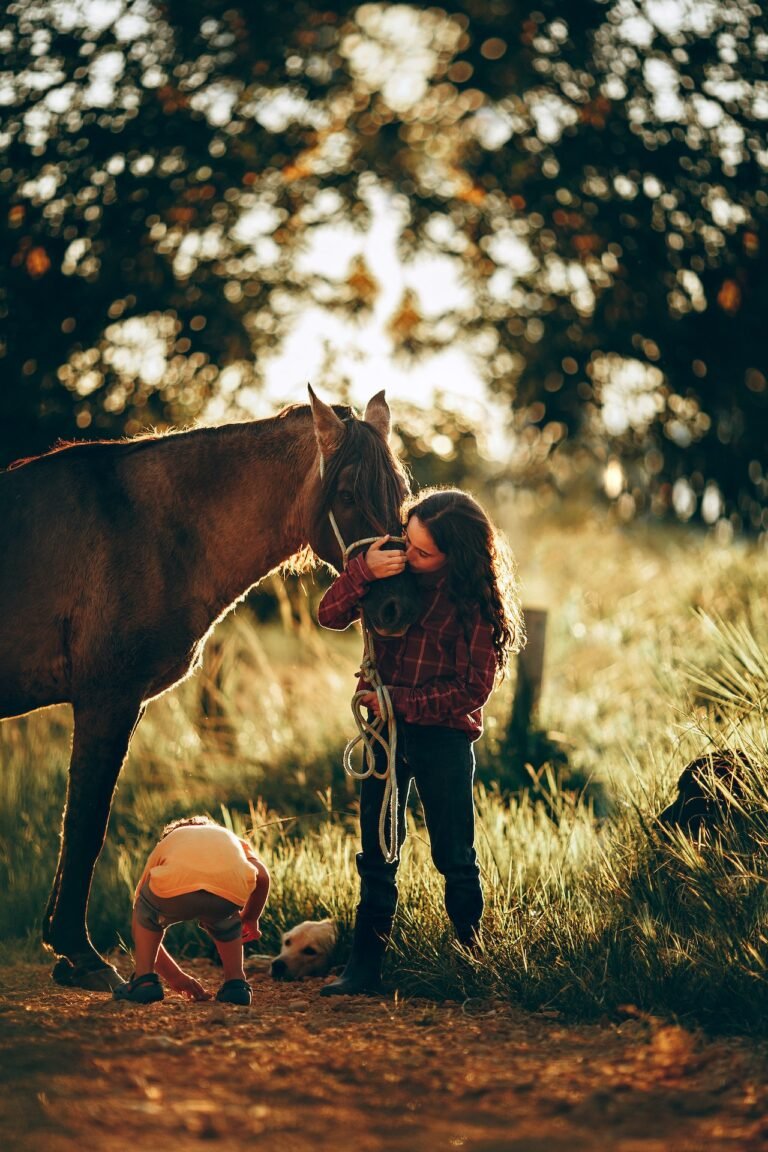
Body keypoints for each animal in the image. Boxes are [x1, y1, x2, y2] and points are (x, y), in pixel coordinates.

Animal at [0, 387, 413, 989]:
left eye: (402, 495)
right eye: (347, 494)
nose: (398, 607)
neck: (146, 530)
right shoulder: (106, 700)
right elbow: (84, 825)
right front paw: (80, 954)